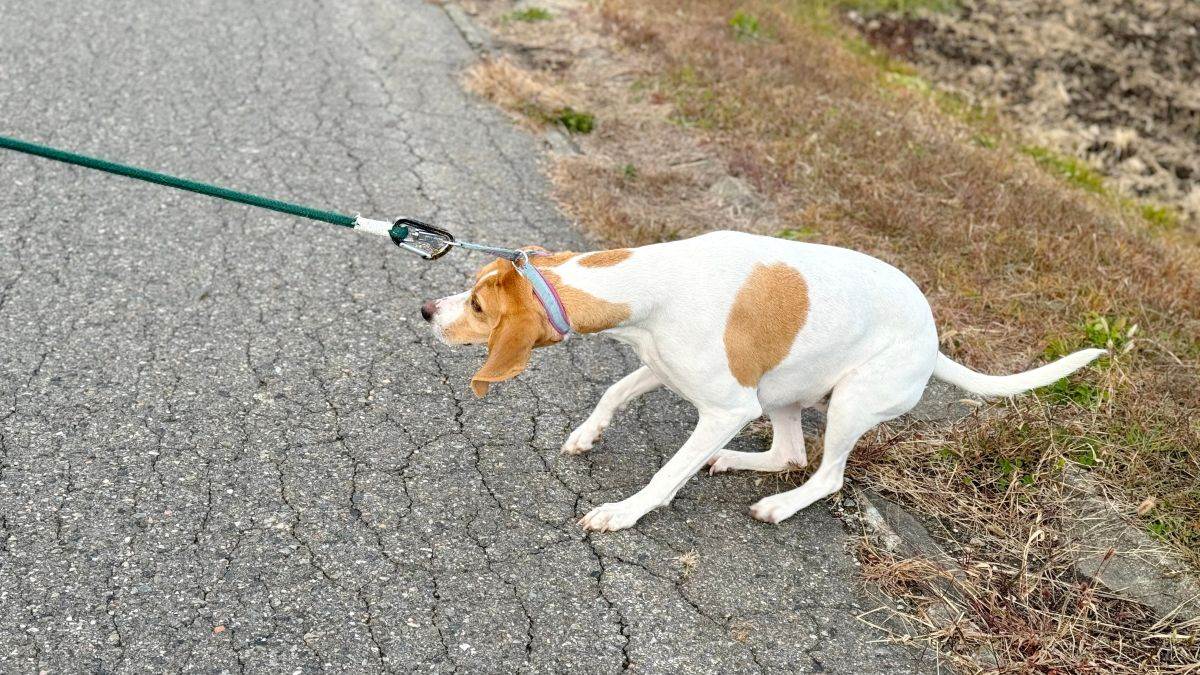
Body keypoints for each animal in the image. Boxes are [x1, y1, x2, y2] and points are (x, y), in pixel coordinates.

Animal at [422, 230, 1104, 530]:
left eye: (478, 307)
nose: (427, 310)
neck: (646, 284)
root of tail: (934, 338)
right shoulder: (662, 368)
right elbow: (612, 390)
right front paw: (588, 434)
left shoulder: (726, 406)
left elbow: (666, 474)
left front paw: (625, 512)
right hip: (781, 392)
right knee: (789, 452)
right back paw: (730, 460)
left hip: (849, 400)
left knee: (824, 474)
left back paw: (779, 503)